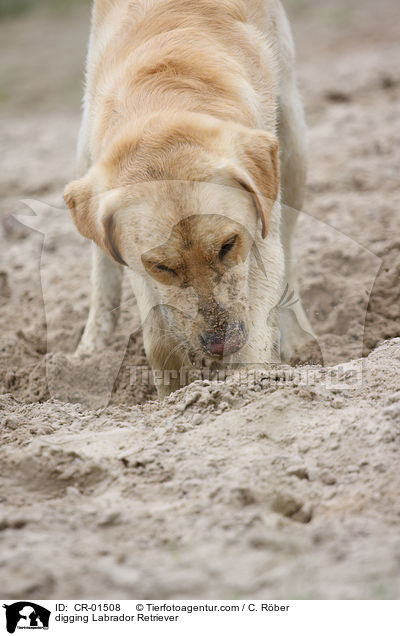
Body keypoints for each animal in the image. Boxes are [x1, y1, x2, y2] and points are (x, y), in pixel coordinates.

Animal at [63, 0, 312, 396]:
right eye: (161, 266)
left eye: (228, 245)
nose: (221, 345)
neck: (164, 93)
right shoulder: (139, 265)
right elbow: (160, 338)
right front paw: (175, 396)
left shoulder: (258, 236)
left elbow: (258, 326)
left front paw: (248, 387)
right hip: (83, 151)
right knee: (101, 262)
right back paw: (91, 347)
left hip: (292, 144)